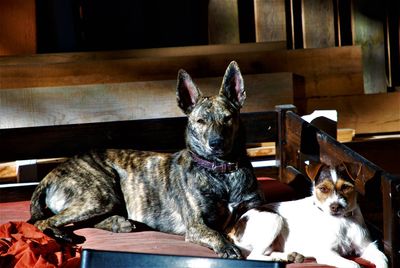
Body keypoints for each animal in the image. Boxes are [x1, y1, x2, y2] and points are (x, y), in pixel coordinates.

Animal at [29, 60, 264, 258]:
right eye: (200, 121)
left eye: (228, 118)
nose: (216, 143)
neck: (222, 171)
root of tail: (50, 175)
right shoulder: (197, 226)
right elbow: (216, 233)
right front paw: (228, 247)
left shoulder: (254, 205)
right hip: (99, 195)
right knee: (44, 222)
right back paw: (65, 234)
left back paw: (118, 223)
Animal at [230, 161, 390, 268]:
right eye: (323, 189)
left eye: (345, 187)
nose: (335, 206)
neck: (341, 221)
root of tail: (233, 229)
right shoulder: (326, 252)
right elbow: (354, 265)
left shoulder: (368, 247)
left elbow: (383, 259)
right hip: (274, 219)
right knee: (252, 256)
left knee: (267, 252)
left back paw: (290, 256)